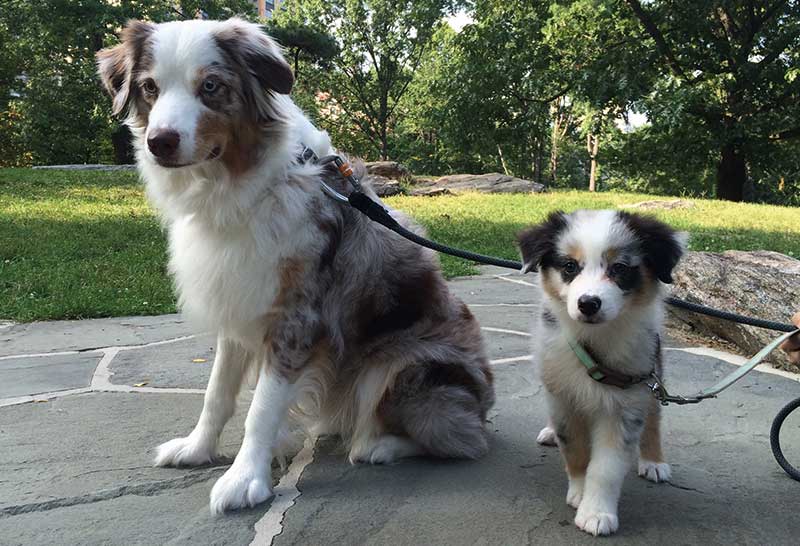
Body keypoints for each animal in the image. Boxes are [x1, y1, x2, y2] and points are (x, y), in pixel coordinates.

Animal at [97, 15, 490, 510]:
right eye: (150, 87)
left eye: (210, 86)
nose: (160, 142)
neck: (239, 185)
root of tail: (485, 404)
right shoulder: (238, 299)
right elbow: (217, 393)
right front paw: (198, 449)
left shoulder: (296, 318)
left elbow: (262, 407)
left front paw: (245, 478)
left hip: (404, 364)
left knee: (459, 438)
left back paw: (378, 445)